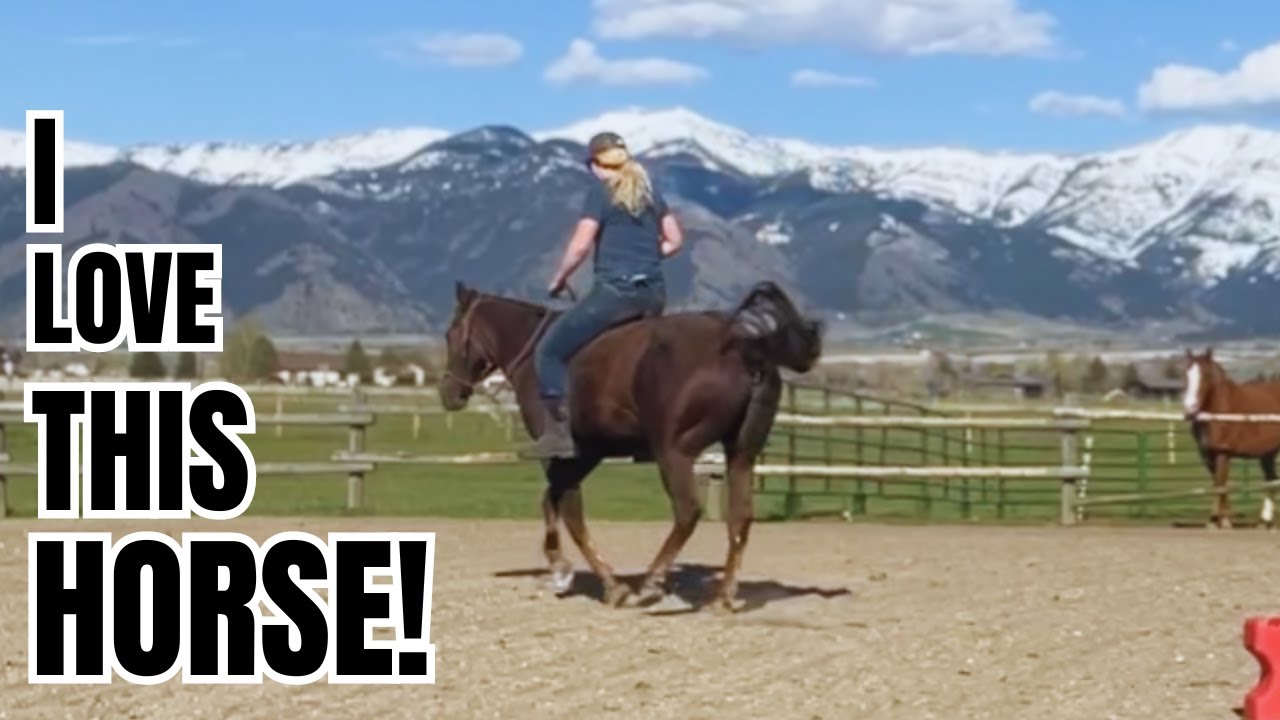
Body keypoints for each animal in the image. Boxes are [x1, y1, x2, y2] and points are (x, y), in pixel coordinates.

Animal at [438, 280, 823, 611]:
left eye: (450, 334)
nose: (448, 393)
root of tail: (741, 345)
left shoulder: (562, 453)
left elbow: (568, 510)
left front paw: (597, 581)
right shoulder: (588, 454)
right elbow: (553, 502)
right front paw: (566, 571)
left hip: (674, 453)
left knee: (687, 512)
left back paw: (651, 583)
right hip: (741, 453)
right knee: (740, 517)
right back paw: (723, 597)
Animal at [1182, 348, 1280, 529]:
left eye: (1206, 375)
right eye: (1186, 373)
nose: (1189, 409)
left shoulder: (1223, 453)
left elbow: (1221, 484)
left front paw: (1218, 521)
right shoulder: (1208, 456)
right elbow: (1218, 484)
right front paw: (1220, 520)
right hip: (1268, 454)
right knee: (1271, 480)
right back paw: (1264, 521)